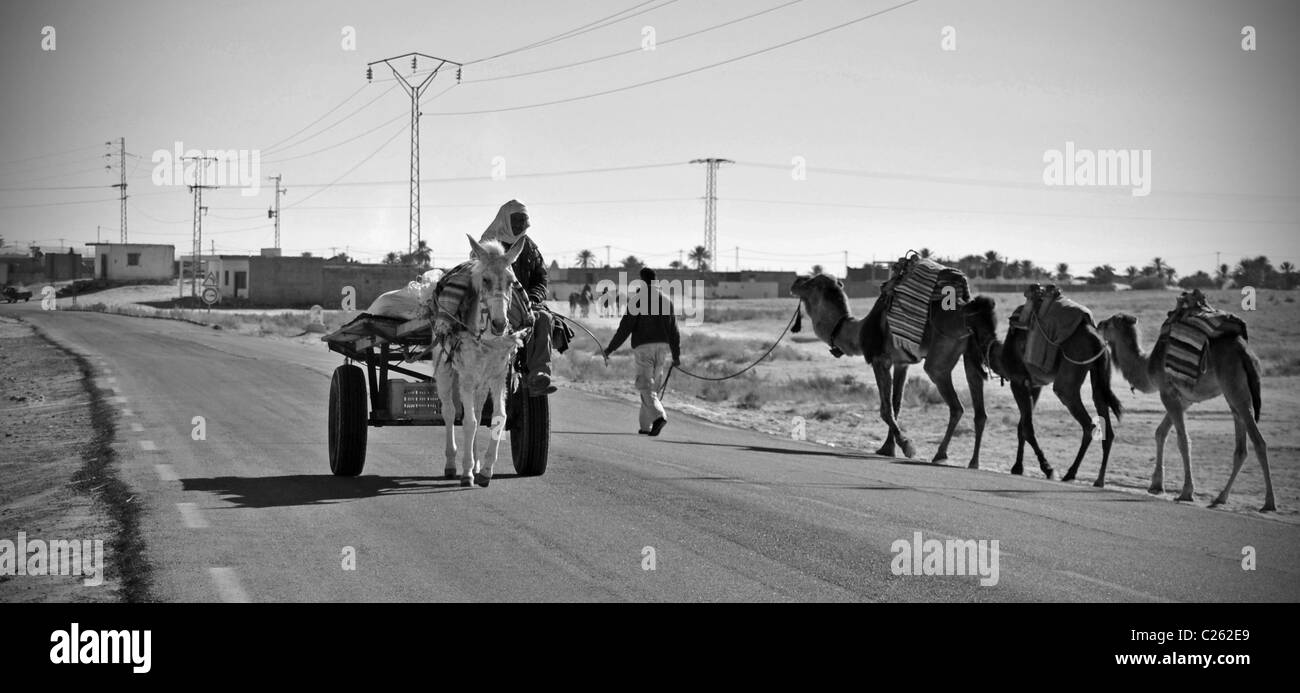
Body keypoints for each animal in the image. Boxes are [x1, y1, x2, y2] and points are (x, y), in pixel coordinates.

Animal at [434, 235, 530, 488]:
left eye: (512, 281)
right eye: (485, 280)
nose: (500, 324)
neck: (487, 339)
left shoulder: (497, 378)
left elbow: (498, 418)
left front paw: (485, 470)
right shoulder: (466, 379)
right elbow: (468, 422)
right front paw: (467, 473)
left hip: (482, 383)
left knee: (476, 410)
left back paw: (476, 464)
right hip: (445, 371)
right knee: (449, 411)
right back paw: (452, 464)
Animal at [790, 274, 993, 465]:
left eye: (811, 282)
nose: (796, 282)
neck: (859, 331)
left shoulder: (880, 360)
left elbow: (885, 409)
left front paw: (907, 446)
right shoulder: (901, 363)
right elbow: (896, 405)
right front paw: (887, 448)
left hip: (941, 355)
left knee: (955, 405)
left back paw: (941, 455)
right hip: (970, 353)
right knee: (980, 412)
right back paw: (973, 462)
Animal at [977, 300, 1123, 483]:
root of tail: (1097, 339)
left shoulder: (1018, 382)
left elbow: (1027, 428)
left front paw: (1047, 468)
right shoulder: (1035, 385)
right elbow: (1021, 426)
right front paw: (1018, 467)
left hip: (1070, 373)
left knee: (1086, 421)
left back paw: (1071, 473)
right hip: (1100, 369)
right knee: (1104, 415)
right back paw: (1099, 480)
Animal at [1097, 313, 1268, 507]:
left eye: (1110, 323)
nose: (1099, 324)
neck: (1148, 366)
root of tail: (1246, 353)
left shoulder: (1166, 393)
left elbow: (1183, 440)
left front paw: (1186, 492)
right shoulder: (1184, 399)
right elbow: (1160, 432)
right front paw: (1156, 485)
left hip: (1233, 386)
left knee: (1258, 440)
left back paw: (1269, 503)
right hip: (1235, 392)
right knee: (1241, 445)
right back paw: (1221, 497)